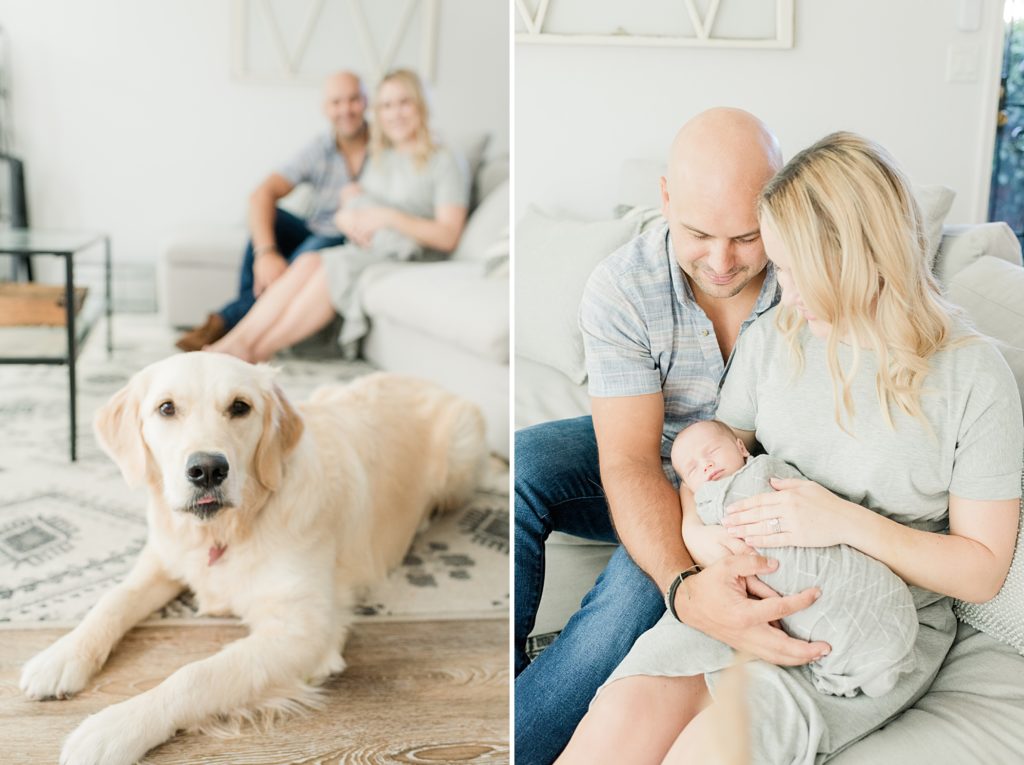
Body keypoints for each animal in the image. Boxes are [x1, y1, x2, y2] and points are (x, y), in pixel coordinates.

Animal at [18, 354, 485, 765]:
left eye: (240, 407)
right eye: (166, 408)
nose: (207, 469)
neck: (227, 530)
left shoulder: (304, 633)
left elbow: (196, 676)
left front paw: (113, 728)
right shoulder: (163, 559)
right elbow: (112, 600)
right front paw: (59, 656)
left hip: (460, 456)